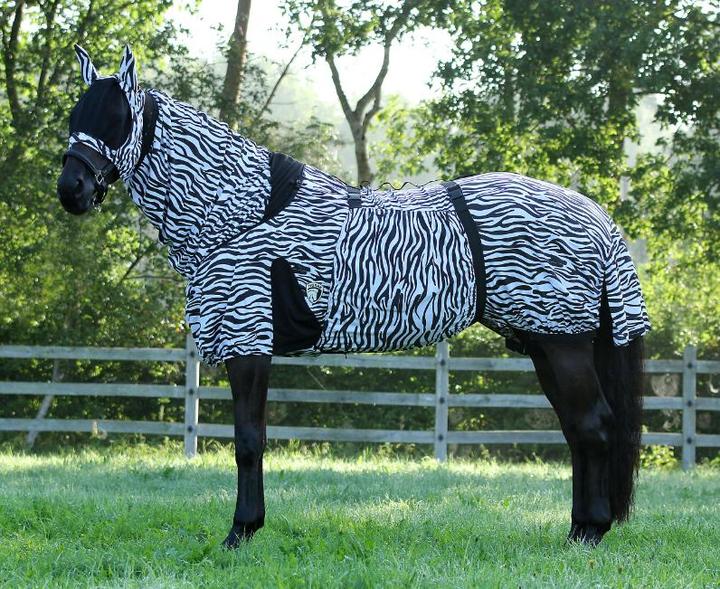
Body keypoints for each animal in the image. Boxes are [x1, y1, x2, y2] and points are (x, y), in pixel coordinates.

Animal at [57, 45, 650, 549]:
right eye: (75, 120)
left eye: (118, 119)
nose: (71, 191)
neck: (240, 214)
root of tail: (594, 214)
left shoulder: (248, 341)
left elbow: (248, 440)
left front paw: (241, 532)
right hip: (547, 341)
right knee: (578, 430)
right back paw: (578, 530)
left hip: (561, 341)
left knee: (593, 425)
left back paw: (590, 533)